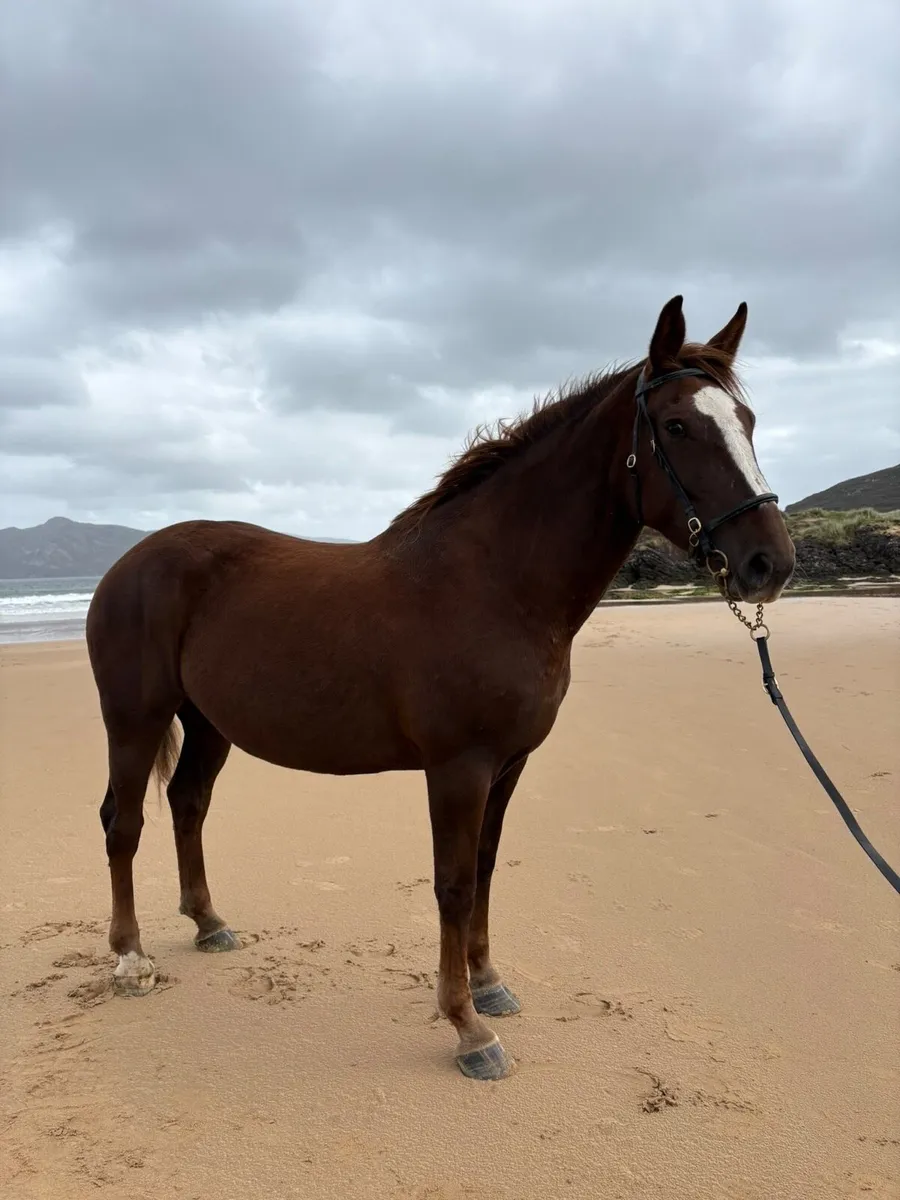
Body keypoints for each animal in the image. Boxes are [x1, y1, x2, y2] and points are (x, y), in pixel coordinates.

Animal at [85, 295, 795, 1081]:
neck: (493, 583)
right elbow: (452, 884)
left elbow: (482, 870)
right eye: (676, 426)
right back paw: (130, 959)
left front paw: (488, 987)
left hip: (209, 724)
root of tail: (129, 562)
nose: (769, 562)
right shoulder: (459, 767)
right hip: (136, 718)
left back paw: (209, 923)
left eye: (748, 421)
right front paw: (467, 1030)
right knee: (123, 822)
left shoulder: (508, 766)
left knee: (187, 803)